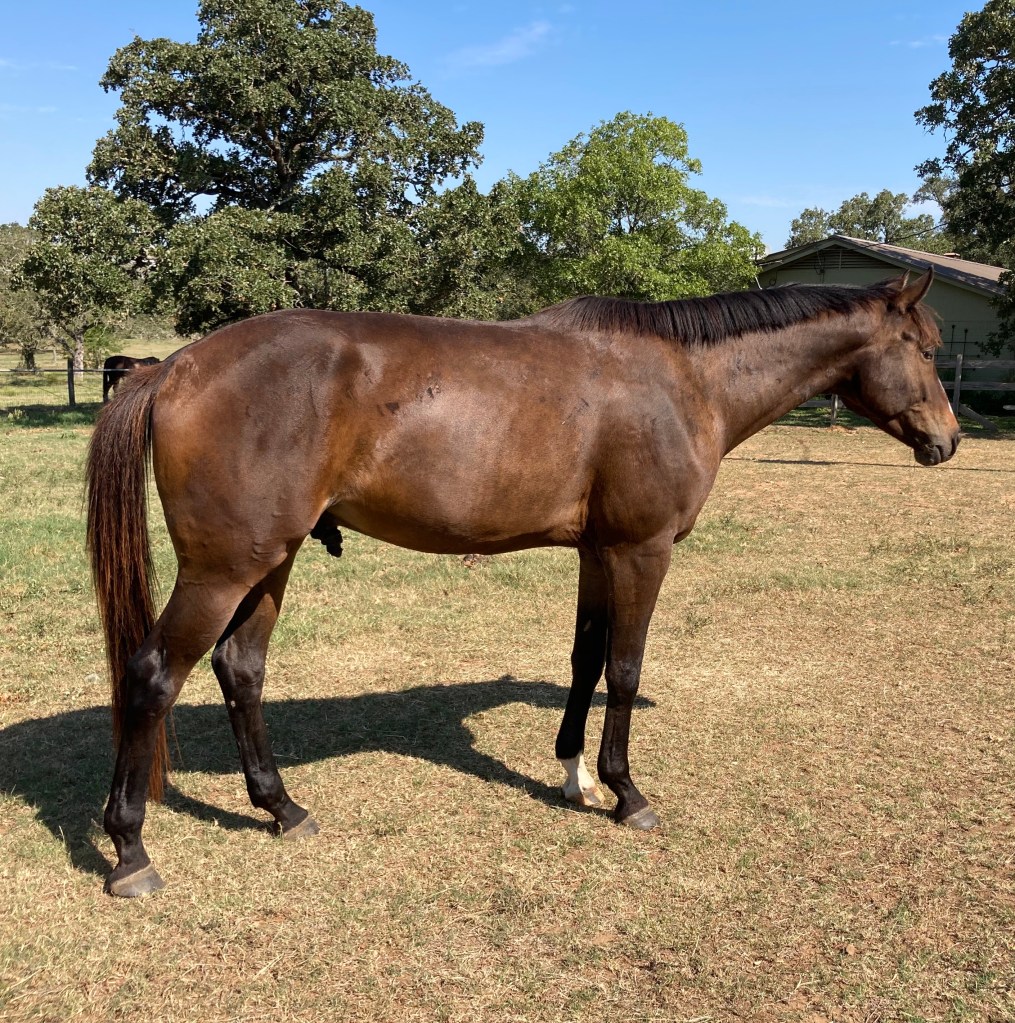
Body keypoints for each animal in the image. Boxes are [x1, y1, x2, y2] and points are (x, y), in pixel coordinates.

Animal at [86, 270, 959, 897]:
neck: (683, 381)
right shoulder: (641, 551)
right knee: (153, 675)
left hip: (271, 560)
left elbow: (584, 659)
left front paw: (574, 772)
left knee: (242, 670)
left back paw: (282, 807)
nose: (947, 441)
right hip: (224, 569)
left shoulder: (597, 552)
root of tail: (172, 367)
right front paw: (626, 792)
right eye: (921, 348)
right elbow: (623, 667)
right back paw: (129, 850)